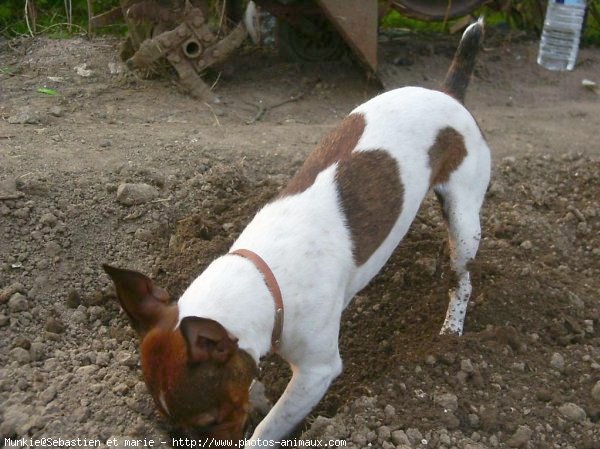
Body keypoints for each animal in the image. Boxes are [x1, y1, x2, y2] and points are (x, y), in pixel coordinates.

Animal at [102, 18, 488, 444]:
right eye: (170, 421)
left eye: (210, 422)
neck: (263, 280)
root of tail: (447, 93)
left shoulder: (317, 373)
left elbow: (268, 428)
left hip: (464, 219)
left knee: (463, 277)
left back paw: (451, 329)